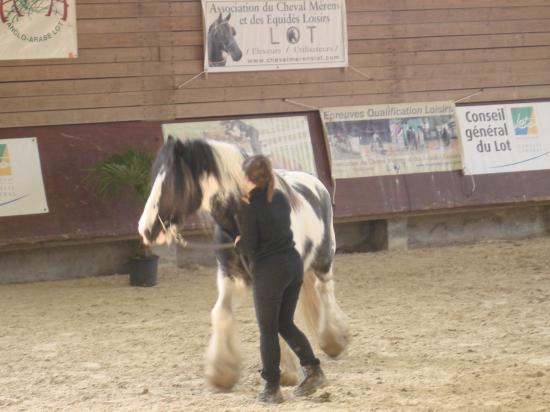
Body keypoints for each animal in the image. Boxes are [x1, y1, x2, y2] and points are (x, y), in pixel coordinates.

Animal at [140, 138, 352, 390]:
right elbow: (221, 313)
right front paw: (222, 372)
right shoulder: (231, 276)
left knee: (325, 290)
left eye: (172, 182)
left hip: (324, 258)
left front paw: (285, 372)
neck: (240, 220)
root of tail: (316, 184)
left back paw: (333, 340)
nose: (146, 229)